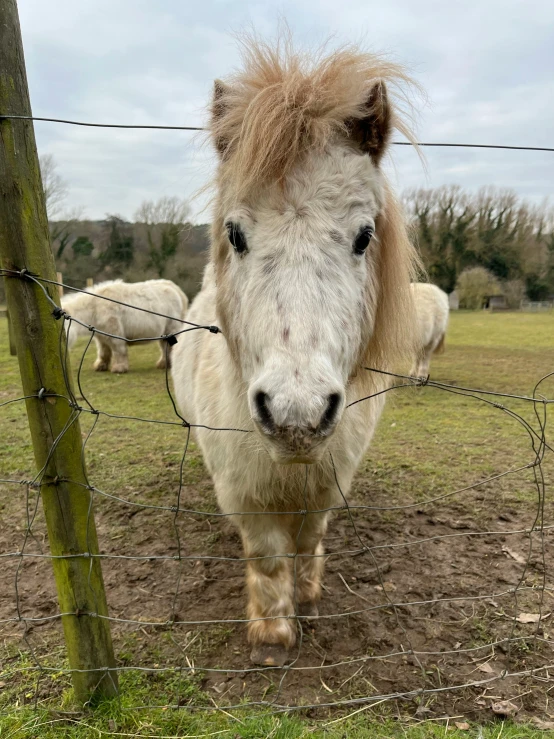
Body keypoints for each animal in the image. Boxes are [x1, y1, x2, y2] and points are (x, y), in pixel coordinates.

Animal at [171, 37, 418, 668]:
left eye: (364, 236)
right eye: (235, 233)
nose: (295, 415)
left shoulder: (326, 483)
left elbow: (307, 541)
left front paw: (306, 597)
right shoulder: (244, 491)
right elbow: (266, 555)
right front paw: (272, 637)